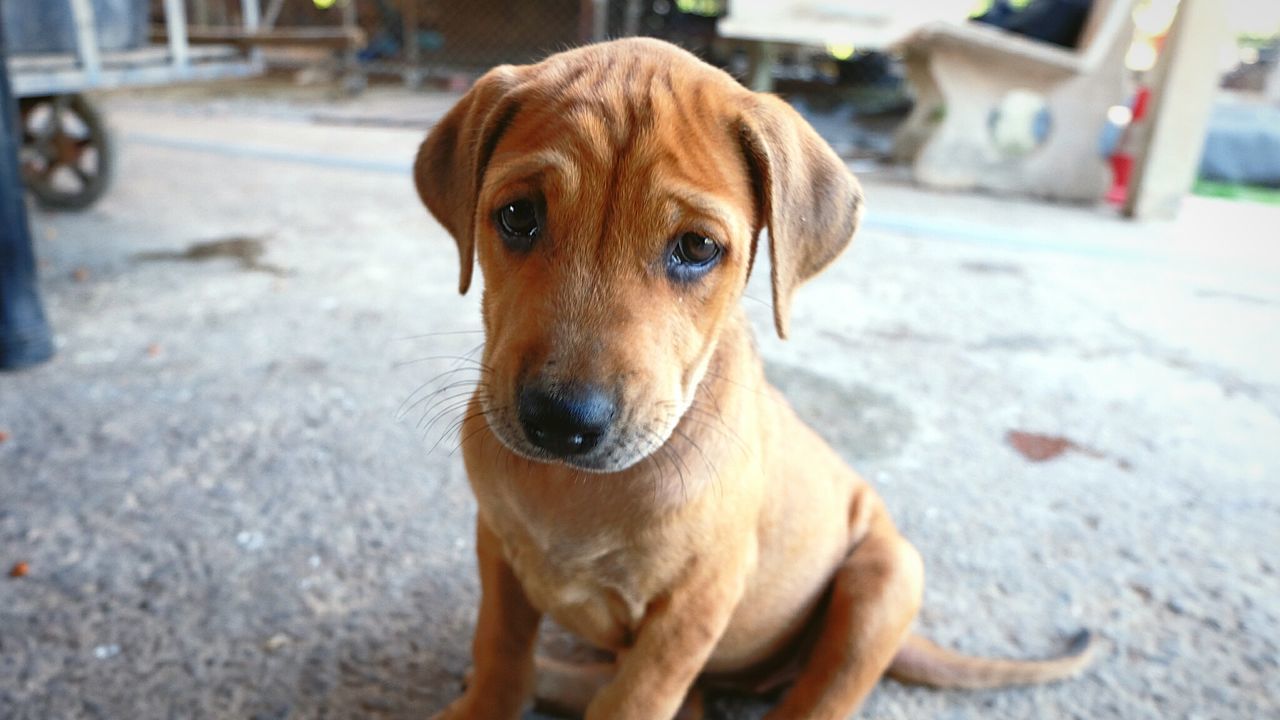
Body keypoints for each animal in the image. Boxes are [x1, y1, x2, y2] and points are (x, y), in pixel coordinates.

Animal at [414, 39, 1095, 717]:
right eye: (517, 215)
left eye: (696, 248)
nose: (561, 422)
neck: (572, 490)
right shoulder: (498, 546)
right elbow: (501, 651)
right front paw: (485, 700)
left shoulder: (695, 605)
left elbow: (633, 699)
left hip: (886, 579)